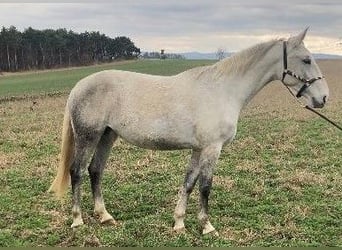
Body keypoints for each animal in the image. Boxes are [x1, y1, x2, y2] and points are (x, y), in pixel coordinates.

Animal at [48, 28, 328, 235]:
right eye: (306, 59)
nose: (323, 98)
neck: (223, 90)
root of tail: (79, 86)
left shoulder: (198, 149)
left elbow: (189, 183)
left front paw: (179, 223)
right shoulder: (212, 148)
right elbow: (205, 186)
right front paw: (207, 226)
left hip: (107, 135)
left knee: (95, 170)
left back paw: (104, 216)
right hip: (88, 136)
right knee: (77, 172)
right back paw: (77, 219)